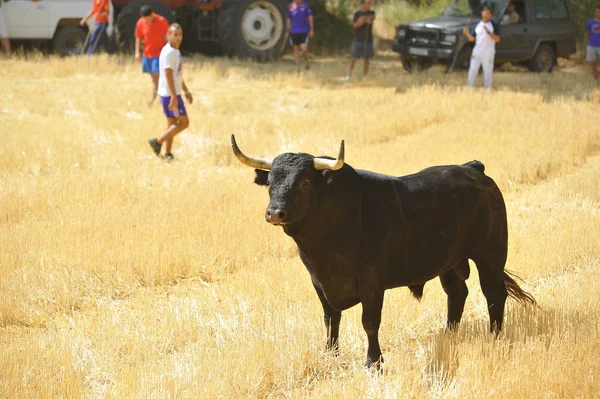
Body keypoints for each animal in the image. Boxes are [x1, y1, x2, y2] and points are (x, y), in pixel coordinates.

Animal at [232, 136, 536, 370]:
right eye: (270, 182)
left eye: (305, 183)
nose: (275, 213)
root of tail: (472, 168)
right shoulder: (319, 282)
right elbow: (331, 319)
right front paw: (330, 354)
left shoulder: (371, 283)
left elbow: (369, 322)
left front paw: (373, 362)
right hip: (448, 262)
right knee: (457, 293)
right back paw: (449, 335)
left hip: (490, 255)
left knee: (493, 295)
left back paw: (495, 337)